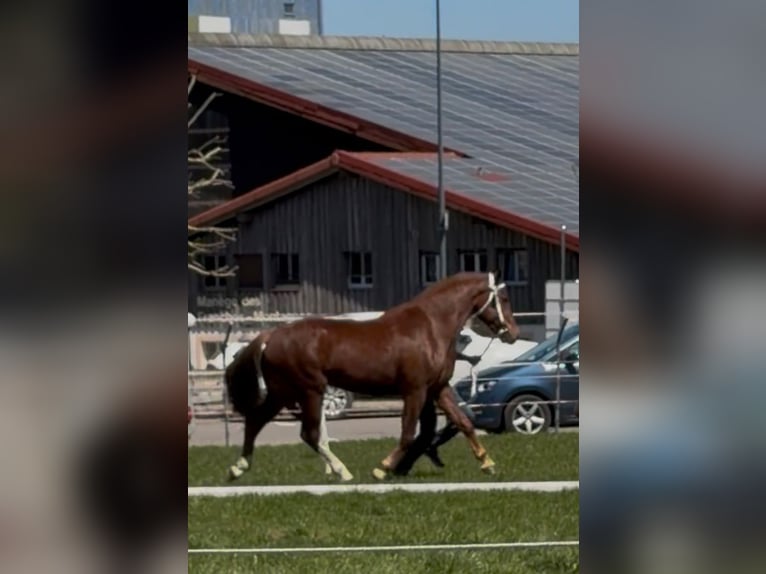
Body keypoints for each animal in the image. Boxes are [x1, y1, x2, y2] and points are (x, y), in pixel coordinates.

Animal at [224, 271, 520, 481]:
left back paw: (238, 467)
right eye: (504, 299)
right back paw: (342, 471)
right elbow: (408, 433)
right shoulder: (415, 390)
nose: (513, 333)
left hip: (283, 392)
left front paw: (487, 463)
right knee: (309, 433)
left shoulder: (438, 388)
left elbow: (463, 422)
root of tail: (271, 335)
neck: (431, 326)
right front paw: (383, 468)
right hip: (310, 390)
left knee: (256, 420)